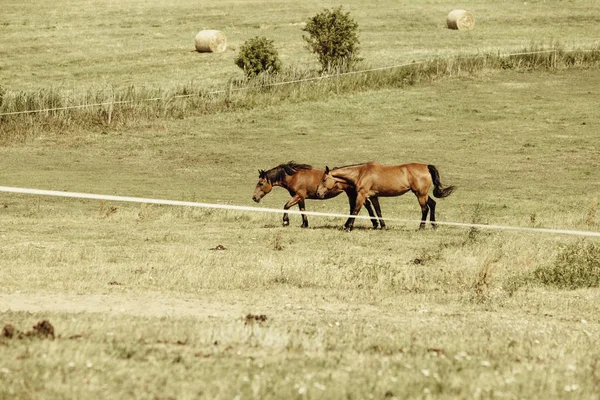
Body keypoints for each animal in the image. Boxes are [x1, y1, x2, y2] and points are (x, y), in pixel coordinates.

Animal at [316, 162, 452, 231]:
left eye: (323, 179)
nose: (318, 193)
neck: (361, 173)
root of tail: (426, 167)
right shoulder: (373, 196)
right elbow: (378, 211)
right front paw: (383, 226)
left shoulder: (362, 195)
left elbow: (355, 210)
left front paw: (348, 227)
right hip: (422, 193)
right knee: (432, 204)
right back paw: (434, 225)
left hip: (420, 194)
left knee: (425, 209)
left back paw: (421, 227)